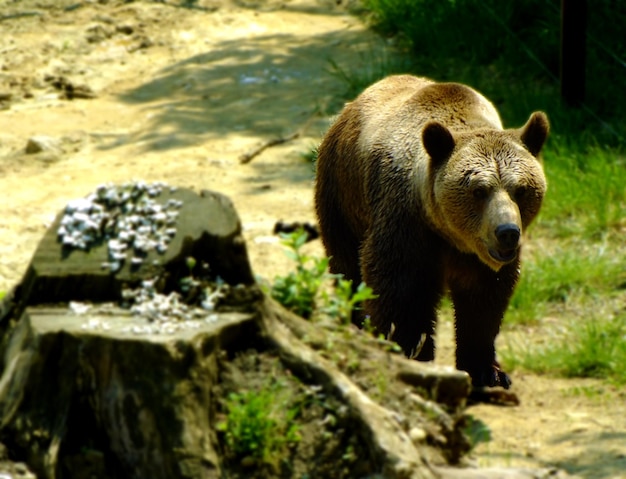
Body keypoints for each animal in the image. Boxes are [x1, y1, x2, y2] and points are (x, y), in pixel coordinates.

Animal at [312, 75, 544, 390]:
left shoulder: (480, 260)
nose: (507, 232)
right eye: (479, 191)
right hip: (342, 196)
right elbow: (399, 294)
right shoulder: (406, 226)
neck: (449, 233)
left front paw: (488, 371)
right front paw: (408, 352)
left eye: (521, 189)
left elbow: (484, 302)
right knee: (347, 269)